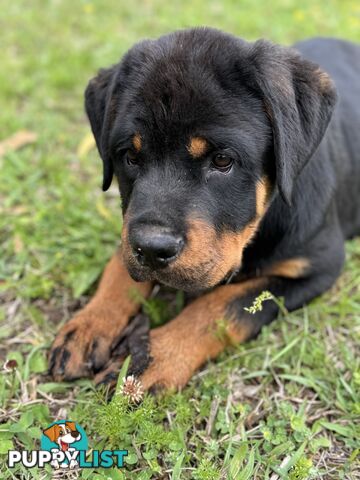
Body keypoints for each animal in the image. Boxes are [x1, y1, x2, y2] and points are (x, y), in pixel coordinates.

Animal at [48, 27, 360, 390]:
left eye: (222, 160)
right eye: (130, 156)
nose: (152, 249)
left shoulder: (318, 265)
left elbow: (222, 305)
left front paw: (151, 357)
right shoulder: (131, 228)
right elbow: (119, 264)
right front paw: (89, 324)